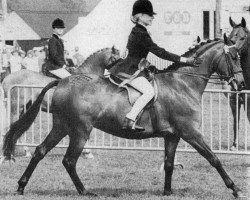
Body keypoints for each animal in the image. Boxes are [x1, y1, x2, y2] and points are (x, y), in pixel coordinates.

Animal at [1, 34, 244, 197]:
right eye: (233, 56)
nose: (241, 84)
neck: (182, 83)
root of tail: (62, 82)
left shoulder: (172, 135)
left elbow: (169, 165)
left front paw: (167, 192)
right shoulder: (191, 132)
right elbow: (214, 158)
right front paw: (235, 188)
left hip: (61, 127)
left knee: (40, 152)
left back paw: (21, 186)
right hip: (80, 130)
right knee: (69, 160)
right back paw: (85, 191)